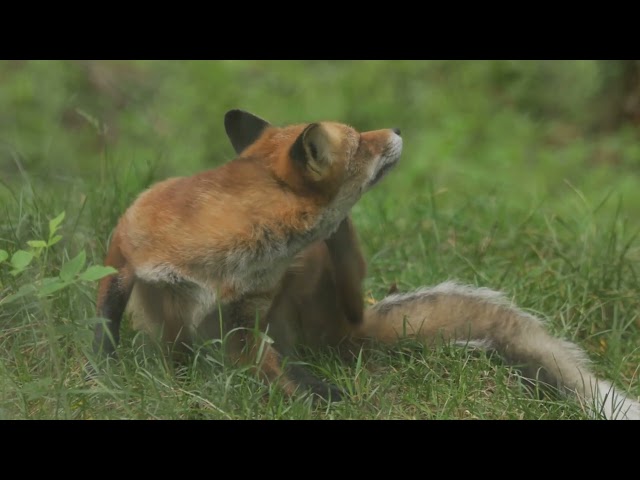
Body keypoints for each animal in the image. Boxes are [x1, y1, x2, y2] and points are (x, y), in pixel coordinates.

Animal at [96, 110, 640, 418]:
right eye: (361, 142)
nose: (397, 129)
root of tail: (348, 328)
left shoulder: (245, 313)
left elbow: (279, 371)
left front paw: (324, 399)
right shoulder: (125, 246)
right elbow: (105, 325)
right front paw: (103, 375)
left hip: (317, 291)